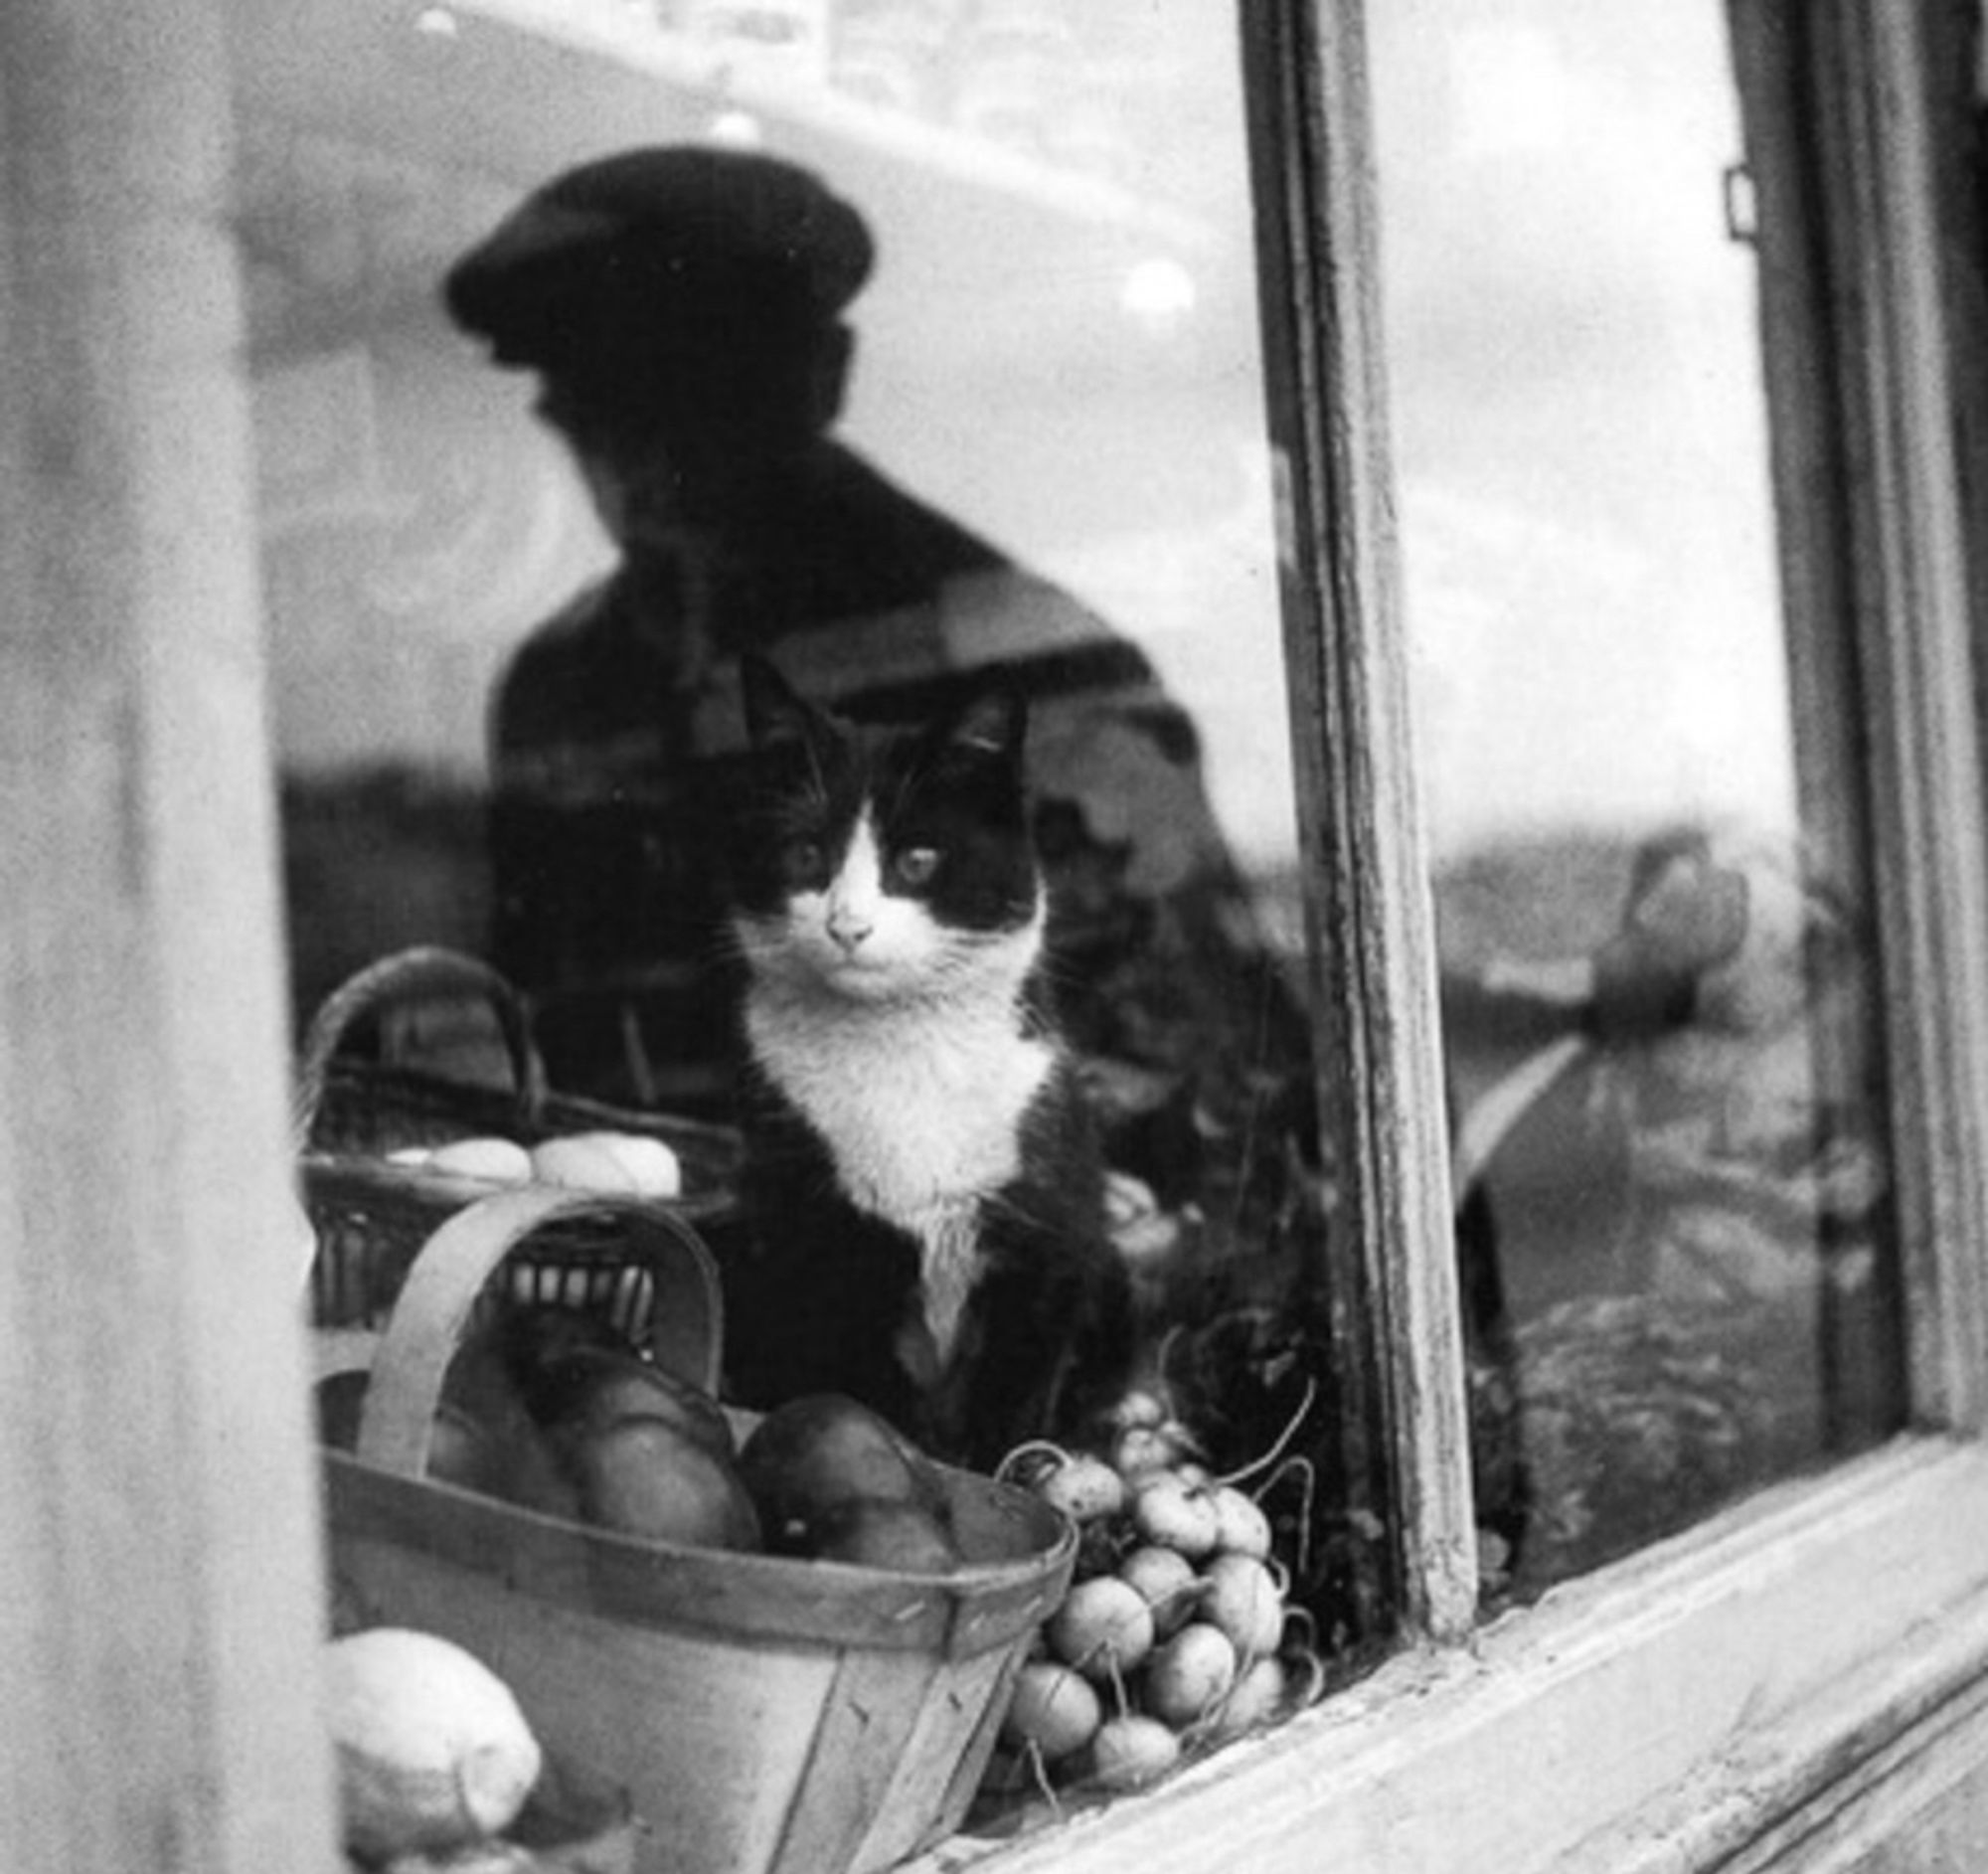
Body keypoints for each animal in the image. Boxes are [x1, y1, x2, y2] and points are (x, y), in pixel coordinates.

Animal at [720, 652, 1137, 1471]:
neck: (903, 1055)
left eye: (918, 861)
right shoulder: (822, 1241)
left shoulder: (1044, 1245)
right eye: (806, 854)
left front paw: (1004, 1476)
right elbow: (870, 1393)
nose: (848, 925)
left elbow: (1013, 1398)